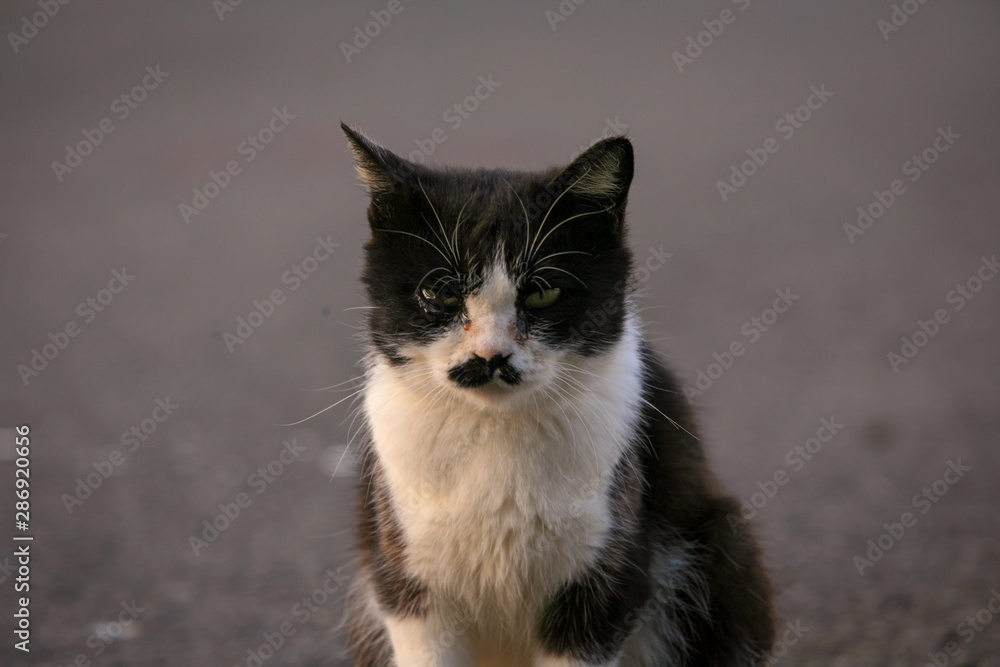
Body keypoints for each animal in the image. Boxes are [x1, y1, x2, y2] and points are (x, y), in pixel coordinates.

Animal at [342, 122, 772, 664]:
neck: (494, 431)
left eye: (543, 292)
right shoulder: (408, 585)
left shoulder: (603, 584)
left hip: (723, 550)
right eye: (439, 293)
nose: (491, 356)